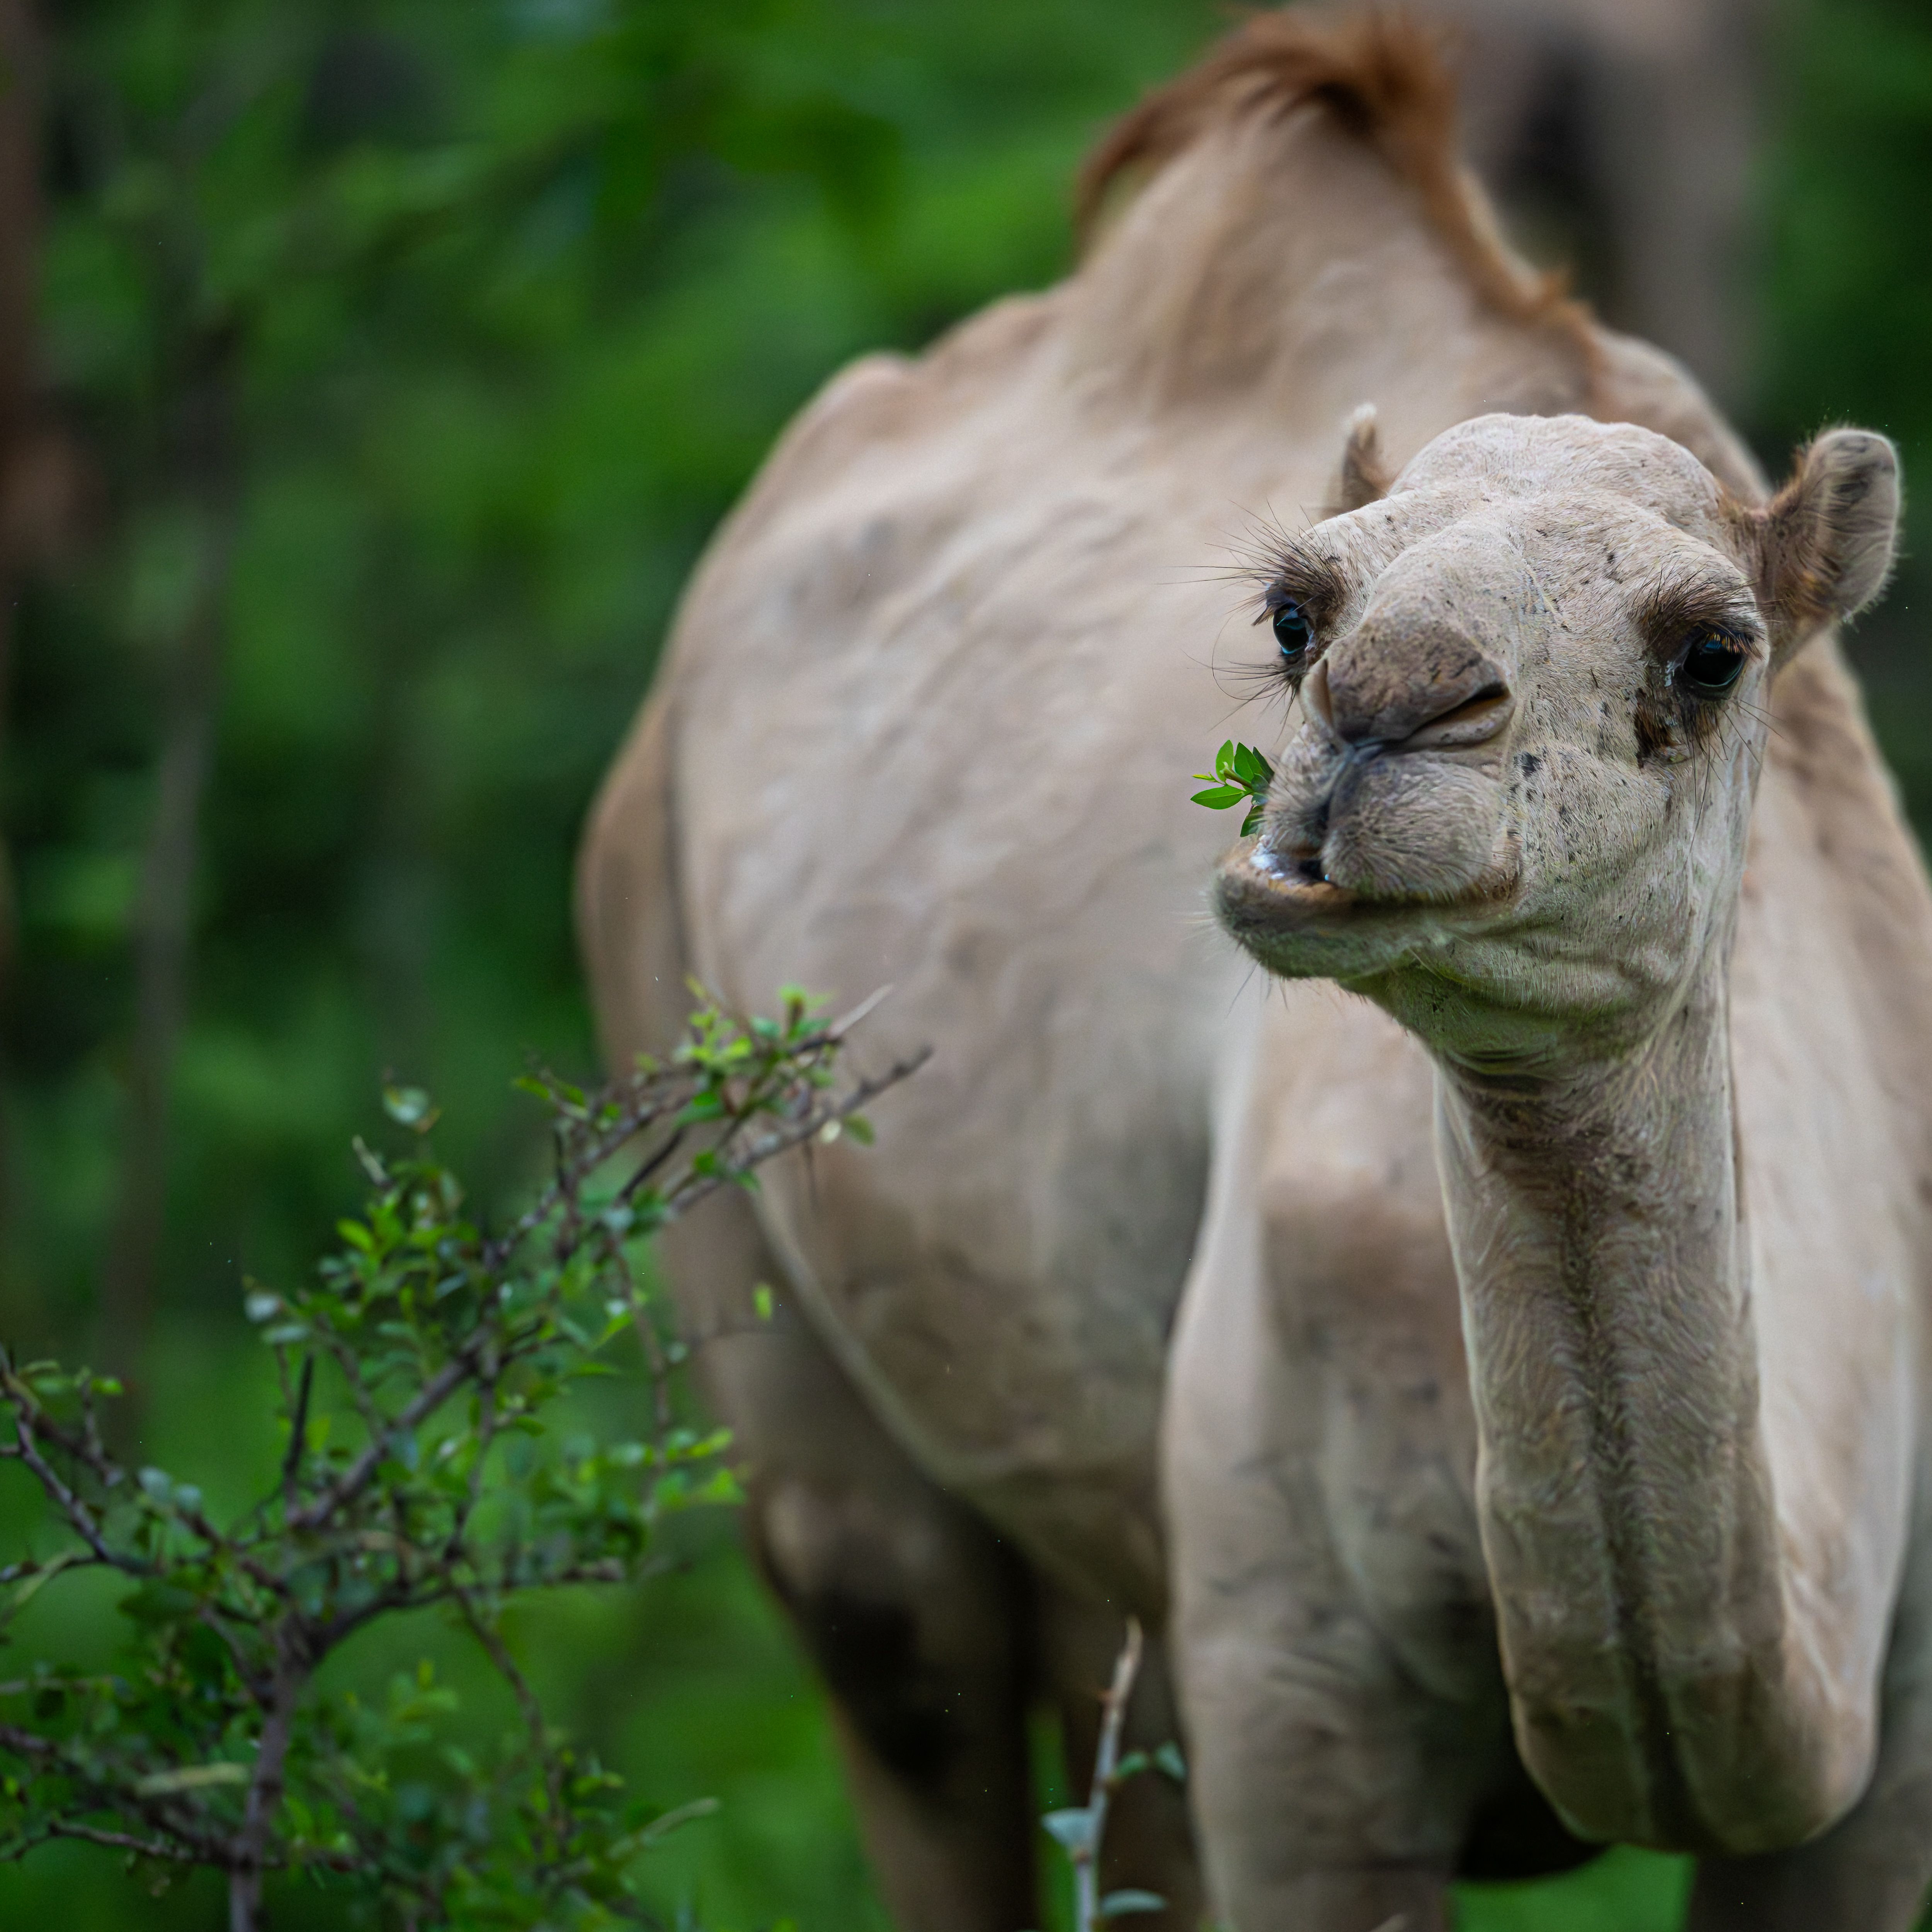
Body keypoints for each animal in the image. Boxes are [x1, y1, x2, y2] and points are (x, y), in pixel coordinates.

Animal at [577, 13, 1932, 1929]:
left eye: (1711, 649)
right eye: (1293, 617)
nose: (1380, 714)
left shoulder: (1889, 1740)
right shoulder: (1289, 1673)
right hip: (661, 1014)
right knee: (891, 1629)